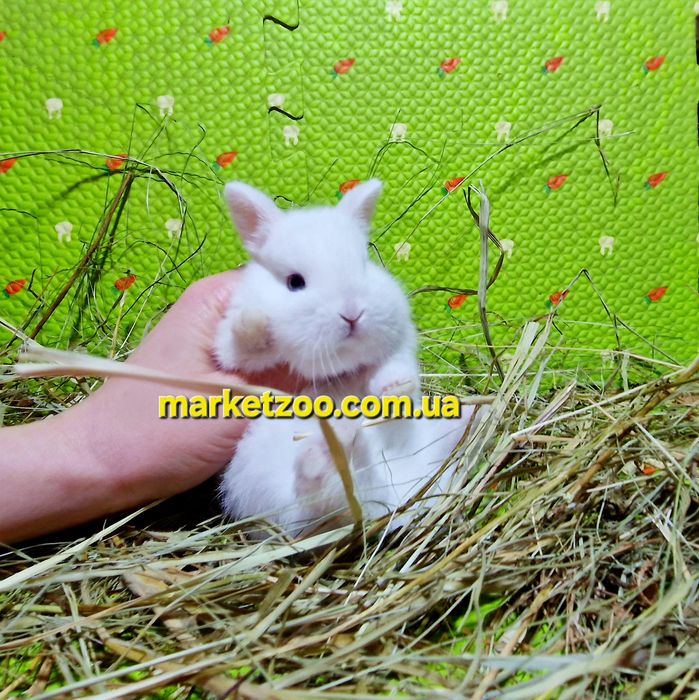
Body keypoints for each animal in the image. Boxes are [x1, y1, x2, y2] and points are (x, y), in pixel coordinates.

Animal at [214, 180, 481, 537]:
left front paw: (395, 389)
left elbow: (394, 368)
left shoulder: (398, 343)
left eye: (363, 265)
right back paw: (327, 451)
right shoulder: (230, 352)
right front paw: (255, 322)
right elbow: (241, 346)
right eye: (294, 282)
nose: (352, 314)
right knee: (321, 505)